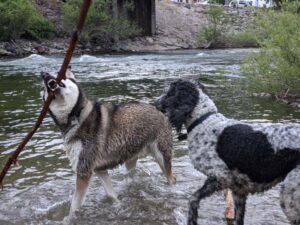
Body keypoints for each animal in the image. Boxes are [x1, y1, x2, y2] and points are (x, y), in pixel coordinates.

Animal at [39, 70, 176, 218]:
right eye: (44, 89)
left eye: (60, 74)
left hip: (161, 157)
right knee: (131, 178)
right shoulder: (99, 170)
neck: (76, 118)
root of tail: (158, 110)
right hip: (130, 162)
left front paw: (69, 219)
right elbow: (111, 194)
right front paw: (118, 206)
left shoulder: (83, 172)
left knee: (172, 178)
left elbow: (73, 208)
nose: (44, 74)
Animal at [155, 79, 300, 225]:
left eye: (169, 93)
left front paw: (192, 219)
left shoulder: (221, 176)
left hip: (290, 198)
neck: (203, 121)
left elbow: (192, 200)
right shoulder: (239, 191)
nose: (154, 103)